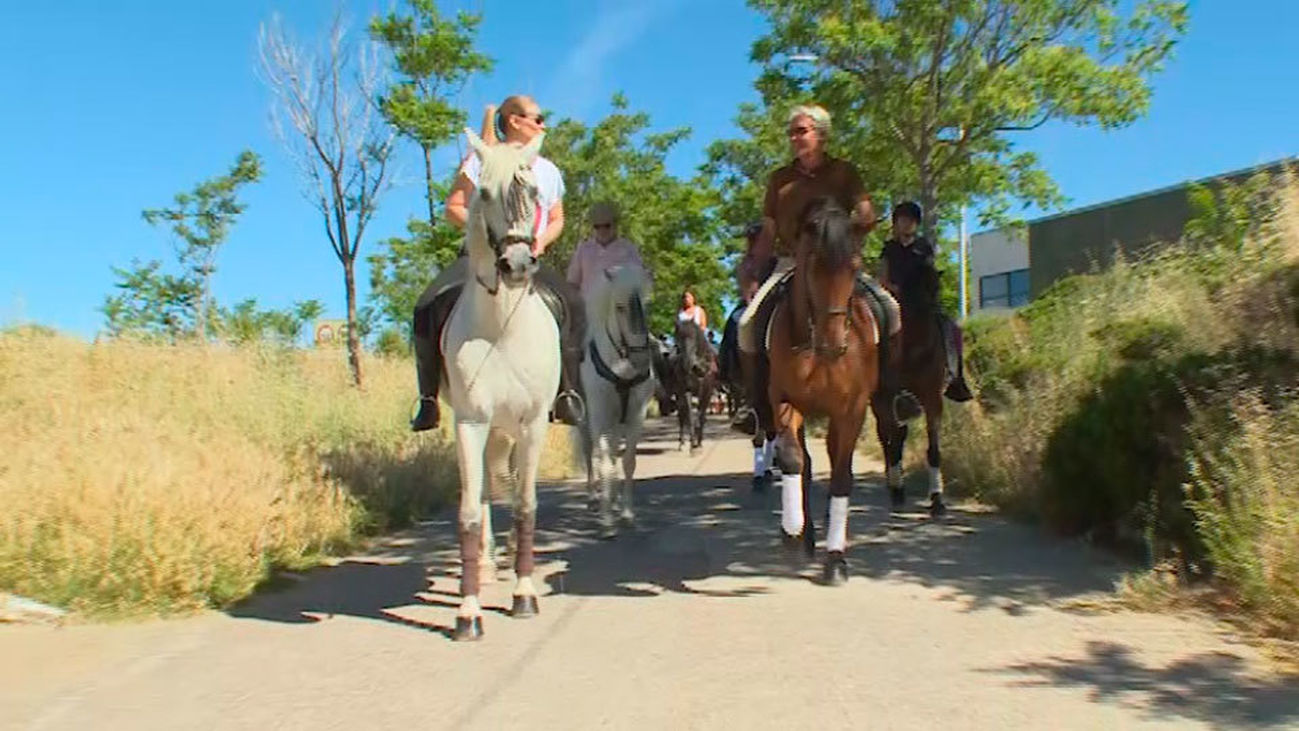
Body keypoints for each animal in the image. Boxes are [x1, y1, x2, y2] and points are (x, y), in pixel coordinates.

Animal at [580, 265, 656, 539]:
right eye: (620, 307)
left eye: (646, 306)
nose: (641, 360)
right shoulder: (600, 418)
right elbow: (604, 463)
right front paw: (606, 521)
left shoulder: (636, 416)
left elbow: (628, 462)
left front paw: (626, 514)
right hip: (586, 422)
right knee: (590, 453)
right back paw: (595, 499)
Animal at [670, 317, 716, 453]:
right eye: (678, 337)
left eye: (694, 336)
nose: (688, 363)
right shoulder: (686, 391)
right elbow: (690, 417)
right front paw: (692, 444)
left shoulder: (704, 392)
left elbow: (700, 416)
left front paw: (697, 443)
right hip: (678, 394)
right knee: (681, 415)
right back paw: (681, 443)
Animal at [761, 196, 899, 586]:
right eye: (813, 265)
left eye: (854, 267)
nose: (833, 344)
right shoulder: (785, 400)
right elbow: (794, 460)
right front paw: (792, 533)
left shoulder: (852, 410)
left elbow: (841, 477)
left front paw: (836, 559)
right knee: (805, 464)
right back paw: (805, 533)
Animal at [872, 264, 949, 517]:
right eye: (914, 290)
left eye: (937, 287)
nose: (933, 314)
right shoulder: (886, 398)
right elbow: (893, 440)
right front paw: (897, 491)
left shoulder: (932, 398)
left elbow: (933, 449)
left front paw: (937, 500)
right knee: (887, 438)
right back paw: (894, 485)